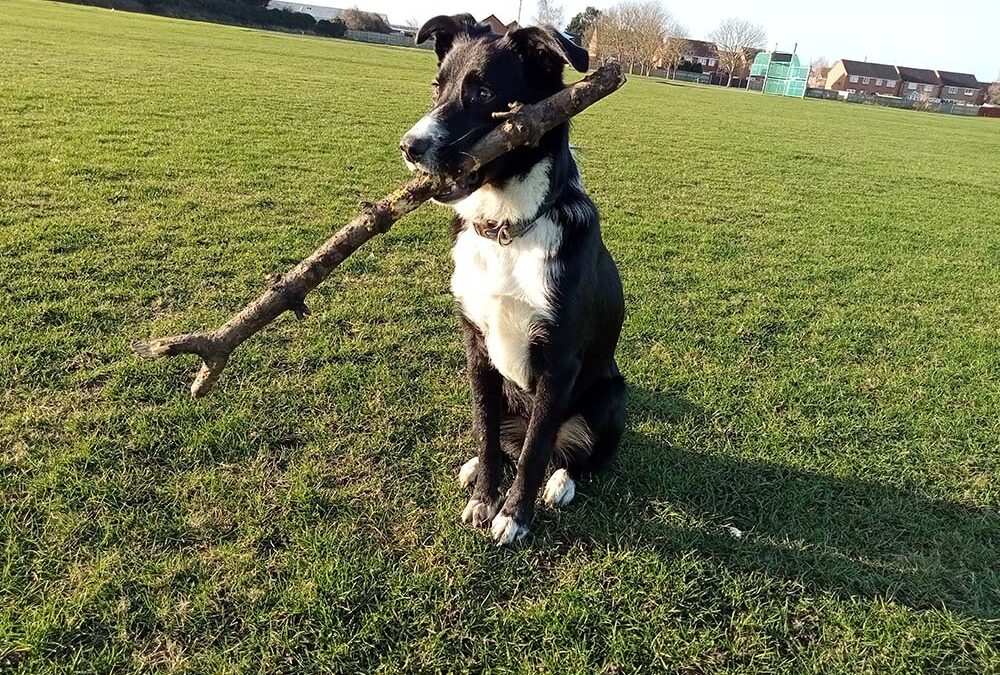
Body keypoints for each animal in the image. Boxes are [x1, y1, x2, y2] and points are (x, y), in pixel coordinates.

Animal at [400, 14, 624, 544]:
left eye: (484, 93)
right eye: (436, 87)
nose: (410, 148)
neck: (507, 229)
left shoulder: (559, 363)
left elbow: (536, 451)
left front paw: (514, 516)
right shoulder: (476, 348)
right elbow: (485, 431)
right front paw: (485, 498)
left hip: (610, 394)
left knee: (571, 452)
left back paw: (561, 481)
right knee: (503, 441)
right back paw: (477, 466)